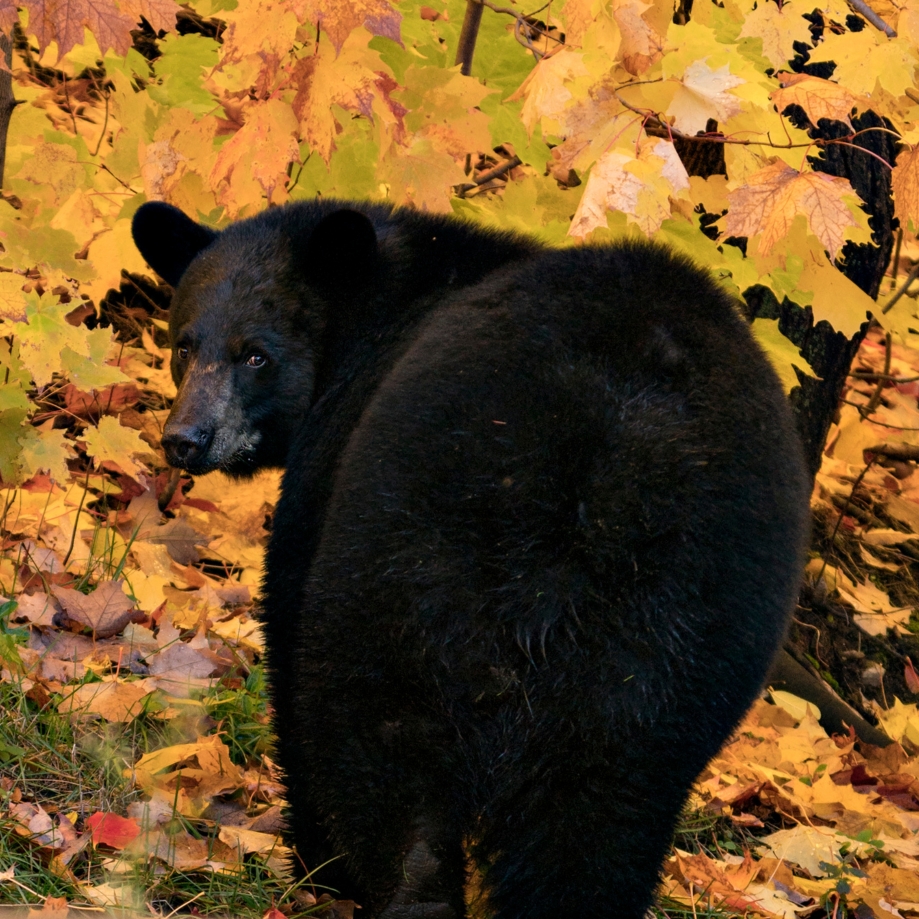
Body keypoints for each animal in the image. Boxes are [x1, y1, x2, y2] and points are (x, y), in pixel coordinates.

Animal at [132, 198, 809, 919]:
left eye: (256, 354)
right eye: (185, 344)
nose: (186, 438)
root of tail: (616, 458)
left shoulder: (332, 462)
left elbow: (288, 628)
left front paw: (316, 862)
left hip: (416, 547)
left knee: (379, 744)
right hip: (686, 634)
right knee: (601, 814)